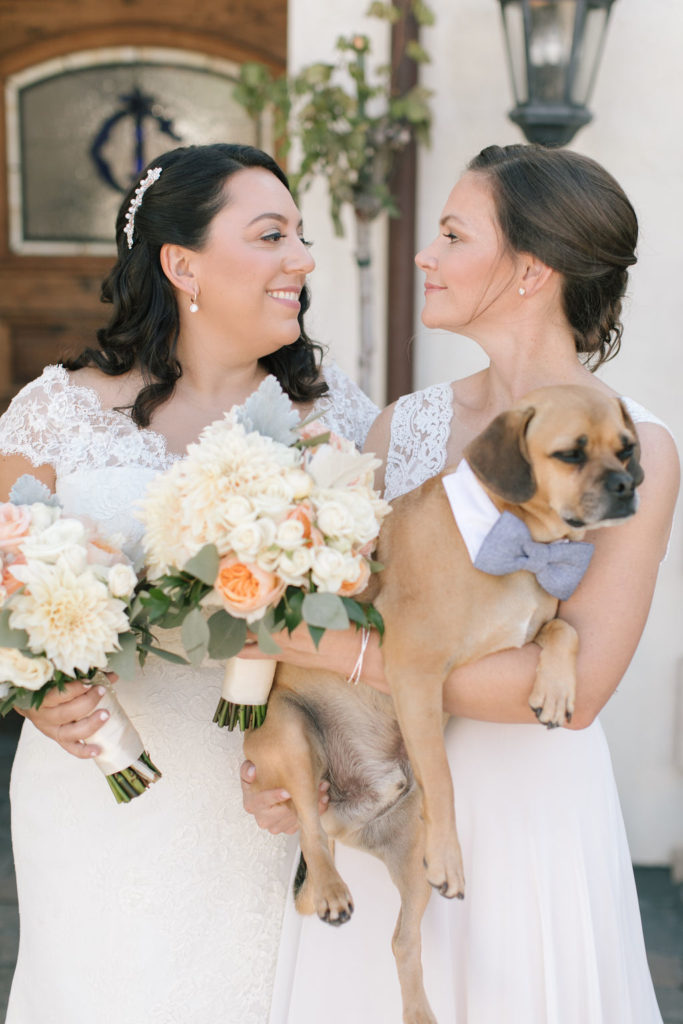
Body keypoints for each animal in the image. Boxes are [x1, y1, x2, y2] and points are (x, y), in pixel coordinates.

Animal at [245, 385, 647, 1024]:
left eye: (626, 448)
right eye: (570, 454)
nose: (628, 485)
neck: (518, 540)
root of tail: (351, 815)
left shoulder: (525, 638)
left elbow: (565, 633)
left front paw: (555, 690)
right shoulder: (415, 670)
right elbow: (443, 775)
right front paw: (454, 854)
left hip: (410, 865)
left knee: (401, 941)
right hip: (288, 731)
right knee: (308, 827)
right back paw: (333, 888)